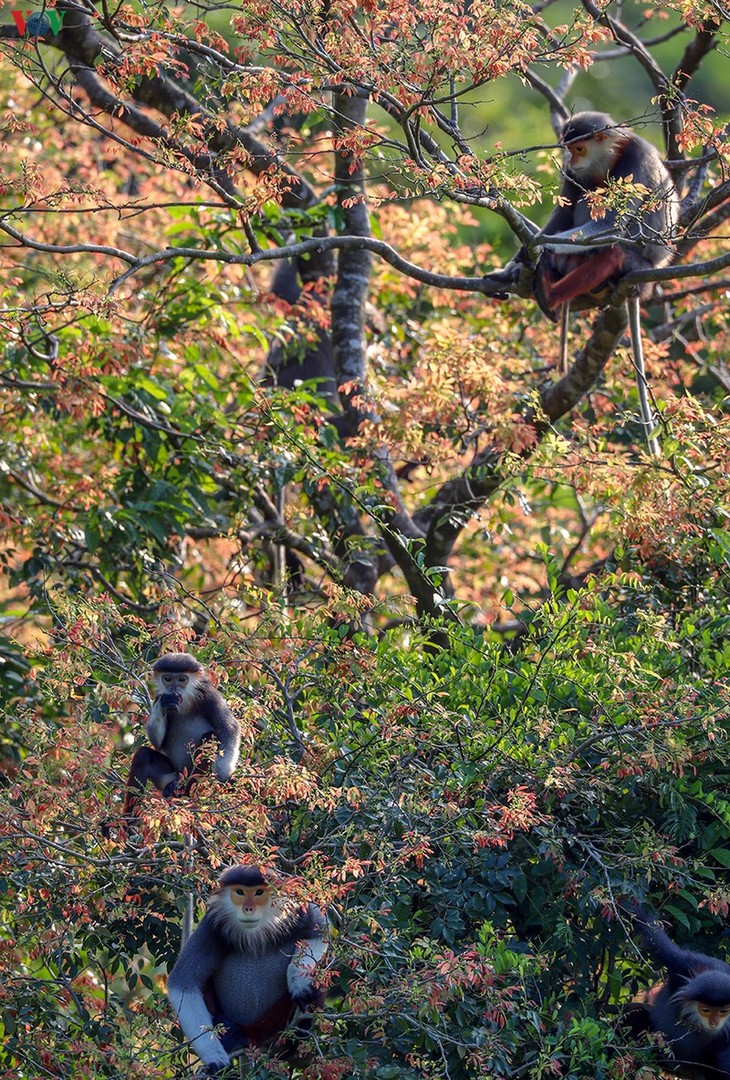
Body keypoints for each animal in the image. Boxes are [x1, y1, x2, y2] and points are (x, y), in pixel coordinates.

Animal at [122, 656, 241, 816]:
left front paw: (223, 776)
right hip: (169, 775)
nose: (174, 689)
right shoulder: (159, 697)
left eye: (182, 679)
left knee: (212, 736)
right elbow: (158, 743)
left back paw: (186, 793)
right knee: (143, 755)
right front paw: (166, 704)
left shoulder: (209, 696)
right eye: (167, 679)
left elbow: (229, 728)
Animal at [168, 864, 328, 1075]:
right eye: (240, 892)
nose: (248, 908)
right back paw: (231, 1033)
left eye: (259, 892)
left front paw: (298, 983)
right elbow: (183, 982)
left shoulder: (298, 910)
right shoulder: (211, 925)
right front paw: (215, 1060)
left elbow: (321, 931)